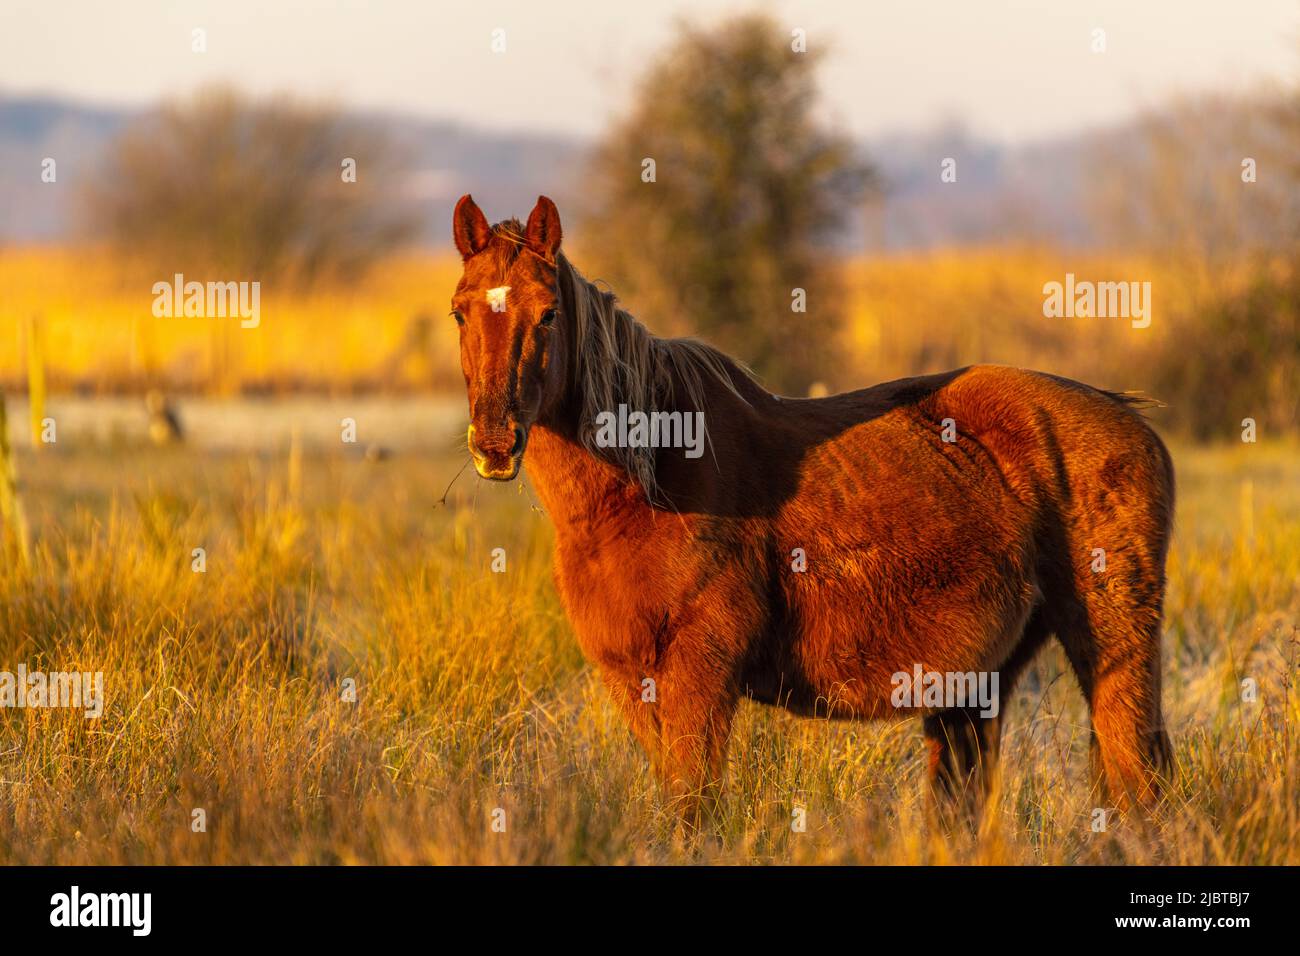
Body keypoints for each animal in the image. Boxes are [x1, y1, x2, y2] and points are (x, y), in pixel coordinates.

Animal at [449, 192, 1180, 822]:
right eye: (460, 311)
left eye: (548, 312)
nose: (494, 444)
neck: (643, 482)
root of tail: (1129, 417)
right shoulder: (632, 681)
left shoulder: (699, 676)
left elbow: (692, 810)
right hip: (977, 683)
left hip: (1114, 649)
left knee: (1140, 783)